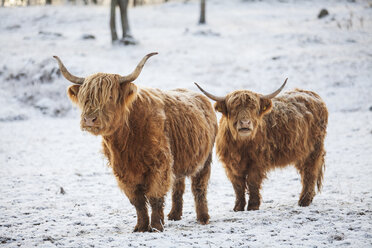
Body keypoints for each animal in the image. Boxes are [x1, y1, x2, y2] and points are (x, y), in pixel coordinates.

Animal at [54, 53, 218, 232]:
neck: (126, 139)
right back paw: (174, 215)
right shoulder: (123, 172)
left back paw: (203, 218)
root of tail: (199, 96)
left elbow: (155, 197)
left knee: (199, 188)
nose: (89, 119)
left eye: (110, 96)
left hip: (205, 160)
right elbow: (137, 202)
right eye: (84, 98)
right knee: (178, 186)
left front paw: (156, 227)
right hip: (179, 160)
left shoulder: (159, 165)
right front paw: (140, 227)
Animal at [196, 79, 326, 211]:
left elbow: (253, 182)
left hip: (314, 149)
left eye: (254, 108)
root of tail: (311, 94)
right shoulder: (231, 165)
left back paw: (304, 201)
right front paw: (238, 207)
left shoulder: (258, 162)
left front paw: (253, 206)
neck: (241, 146)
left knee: (310, 172)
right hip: (301, 152)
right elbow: (238, 186)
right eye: (233, 108)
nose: (245, 123)